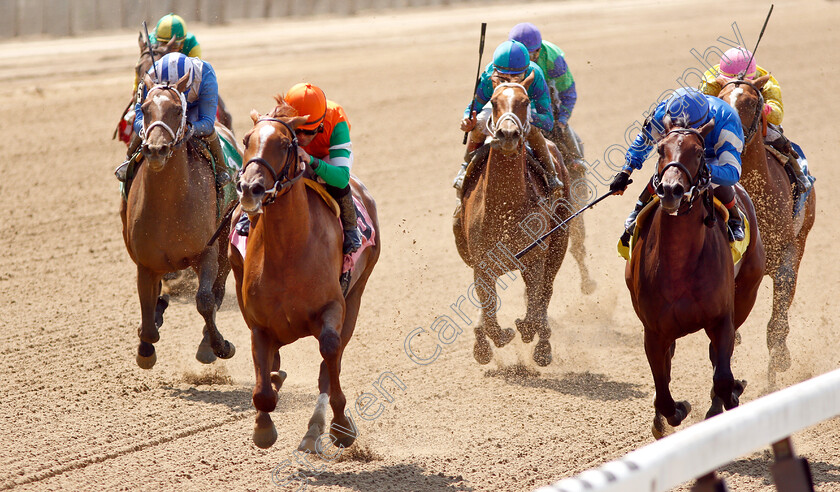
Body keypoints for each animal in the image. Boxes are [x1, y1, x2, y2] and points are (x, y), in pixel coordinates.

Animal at [120, 71, 236, 368]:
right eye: (145, 108)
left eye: (177, 109)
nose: (156, 149)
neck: (168, 208)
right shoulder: (146, 264)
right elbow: (148, 315)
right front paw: (145, 348)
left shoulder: (206, 252)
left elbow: (205, 300)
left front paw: (220, 346)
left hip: (226, 239)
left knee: (217, 291)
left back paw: (208, 343)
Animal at [233, 99, 384, 450]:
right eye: (246, 140)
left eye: (284, 144)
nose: (250, 188)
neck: (287, 251)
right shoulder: (258, 322)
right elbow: (262, 389)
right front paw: (263, 426)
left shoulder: (334, 307)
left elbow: (329, 352)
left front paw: (341, 426)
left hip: (356, 295)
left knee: (332, 358)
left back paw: (317, 427)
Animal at [452, 72, 572, 366]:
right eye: (494, 101)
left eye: (525, 101)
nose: (508, 134)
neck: (505, 206)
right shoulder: (482, 263)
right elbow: (488, 310)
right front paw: (490, 340)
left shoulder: (534, 259)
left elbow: (534, 304)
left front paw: (528, 332)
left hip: (559, 243)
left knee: (546, 292)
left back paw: (543, 347)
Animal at [624, 116, 768, 438]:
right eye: (660, 149)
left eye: (699, 152)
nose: (671, 190)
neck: (678, 264)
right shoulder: (653, 332)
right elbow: (663, 390)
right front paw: (674, 411)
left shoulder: (722, 319)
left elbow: (723, 377)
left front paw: (732, 392)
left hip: (747, 293)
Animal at [716, 76, 812, 384]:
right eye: (721, 98)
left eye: (751, 102)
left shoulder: (786, 259)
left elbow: (776, 324)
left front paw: (780, 359)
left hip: (802, 240)